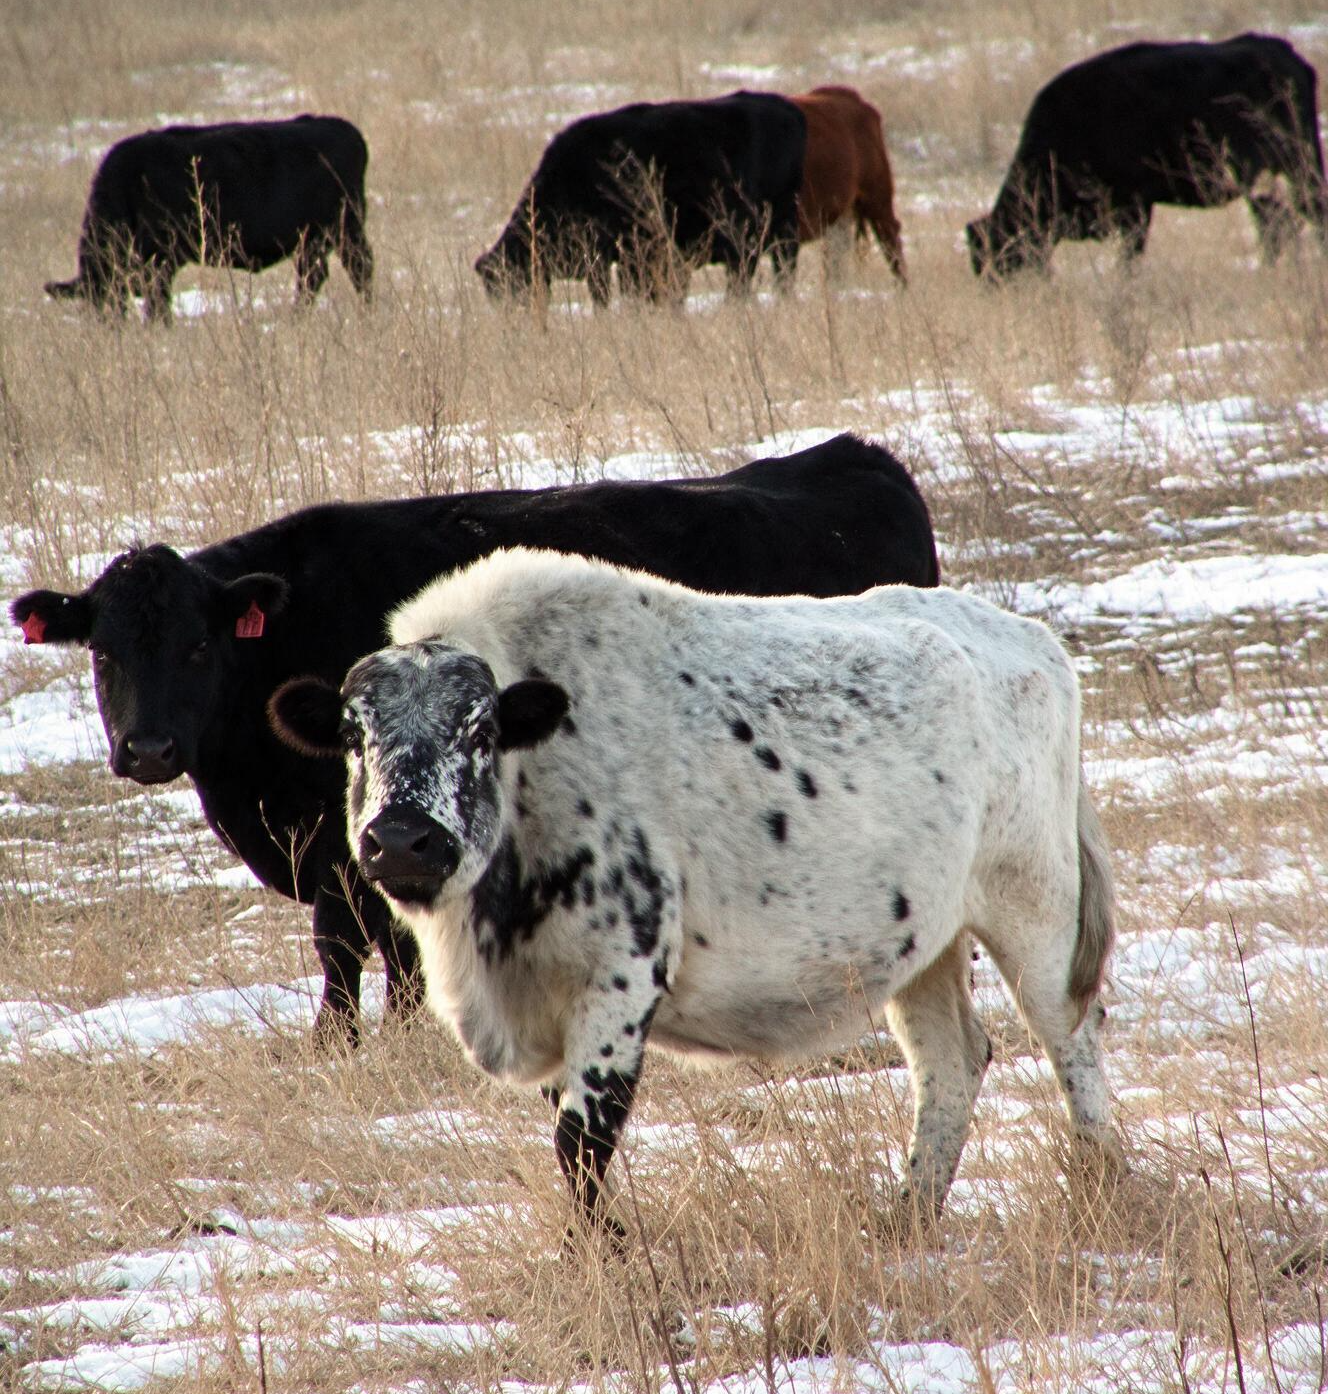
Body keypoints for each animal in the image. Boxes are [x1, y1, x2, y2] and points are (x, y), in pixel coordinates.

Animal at [10, 435, 940, 1047]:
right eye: (102, 652)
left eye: (200, 645)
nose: (148, 749)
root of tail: (848, 456)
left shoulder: (353, 850)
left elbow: (349, 953)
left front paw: (349, 1043)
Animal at [44, 115, 374, 322]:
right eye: (89, 302)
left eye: (110, 294)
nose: (108, 326)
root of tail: (345, 129)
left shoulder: (161, 257)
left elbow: (158, 301)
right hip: (314, 240)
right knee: (312, 277)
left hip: (345, 230)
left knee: (358, 269)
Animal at [267, 548, 1122, 1237]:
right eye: (353, 733)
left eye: (479, 729)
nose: (401, 839)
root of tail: (1034, 642)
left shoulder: (621, 978)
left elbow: (582, 1144)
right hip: (928, 945)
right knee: (950, 1061)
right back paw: (906, 1219)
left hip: (1035, 911)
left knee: (1070, 1035)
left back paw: (1104, 1188)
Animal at [967, 34, 1328, 280]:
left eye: (1001, 251)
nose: (994, 288)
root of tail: (1288, 56)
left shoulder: (1134, 207)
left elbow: (1130, 257)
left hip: (1293, 169)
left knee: (1298, 217)